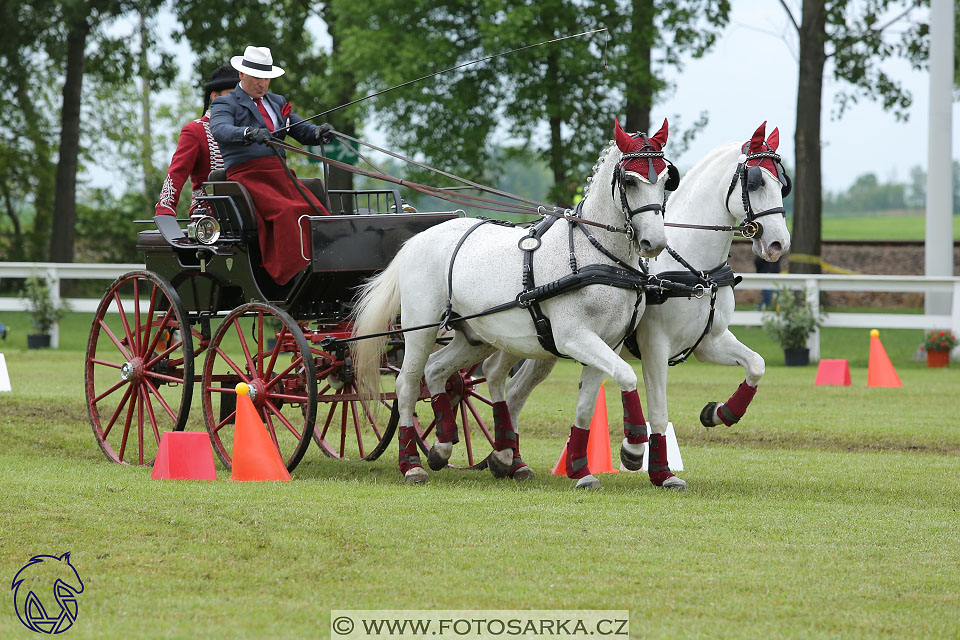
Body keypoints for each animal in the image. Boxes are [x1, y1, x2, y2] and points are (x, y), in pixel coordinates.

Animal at [352, 119, 676, 484]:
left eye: (666, 179)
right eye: (630, 180)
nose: (654, 242)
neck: (598, 256)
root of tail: (419, 238)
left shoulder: (610, 342)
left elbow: (588, 404)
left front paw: (581, 468)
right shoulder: (574, 337)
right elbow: (628, 376)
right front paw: (633, 448)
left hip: (477, 336)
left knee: (438, 371)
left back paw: (445, 446)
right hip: (420, 329)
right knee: (406, 384)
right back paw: (411, 463)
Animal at [488, 121, 796, 490]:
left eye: (782, 184)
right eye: (755, 182)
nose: (778, 244)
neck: (694, 267)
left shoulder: (708, 341)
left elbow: (757, 365)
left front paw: (720, 412)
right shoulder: (655, 346)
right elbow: (658, 412)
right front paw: (653, 466)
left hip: (542, 348)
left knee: (514, 389)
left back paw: (510, 460)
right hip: (513, 339)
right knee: (494, 378)